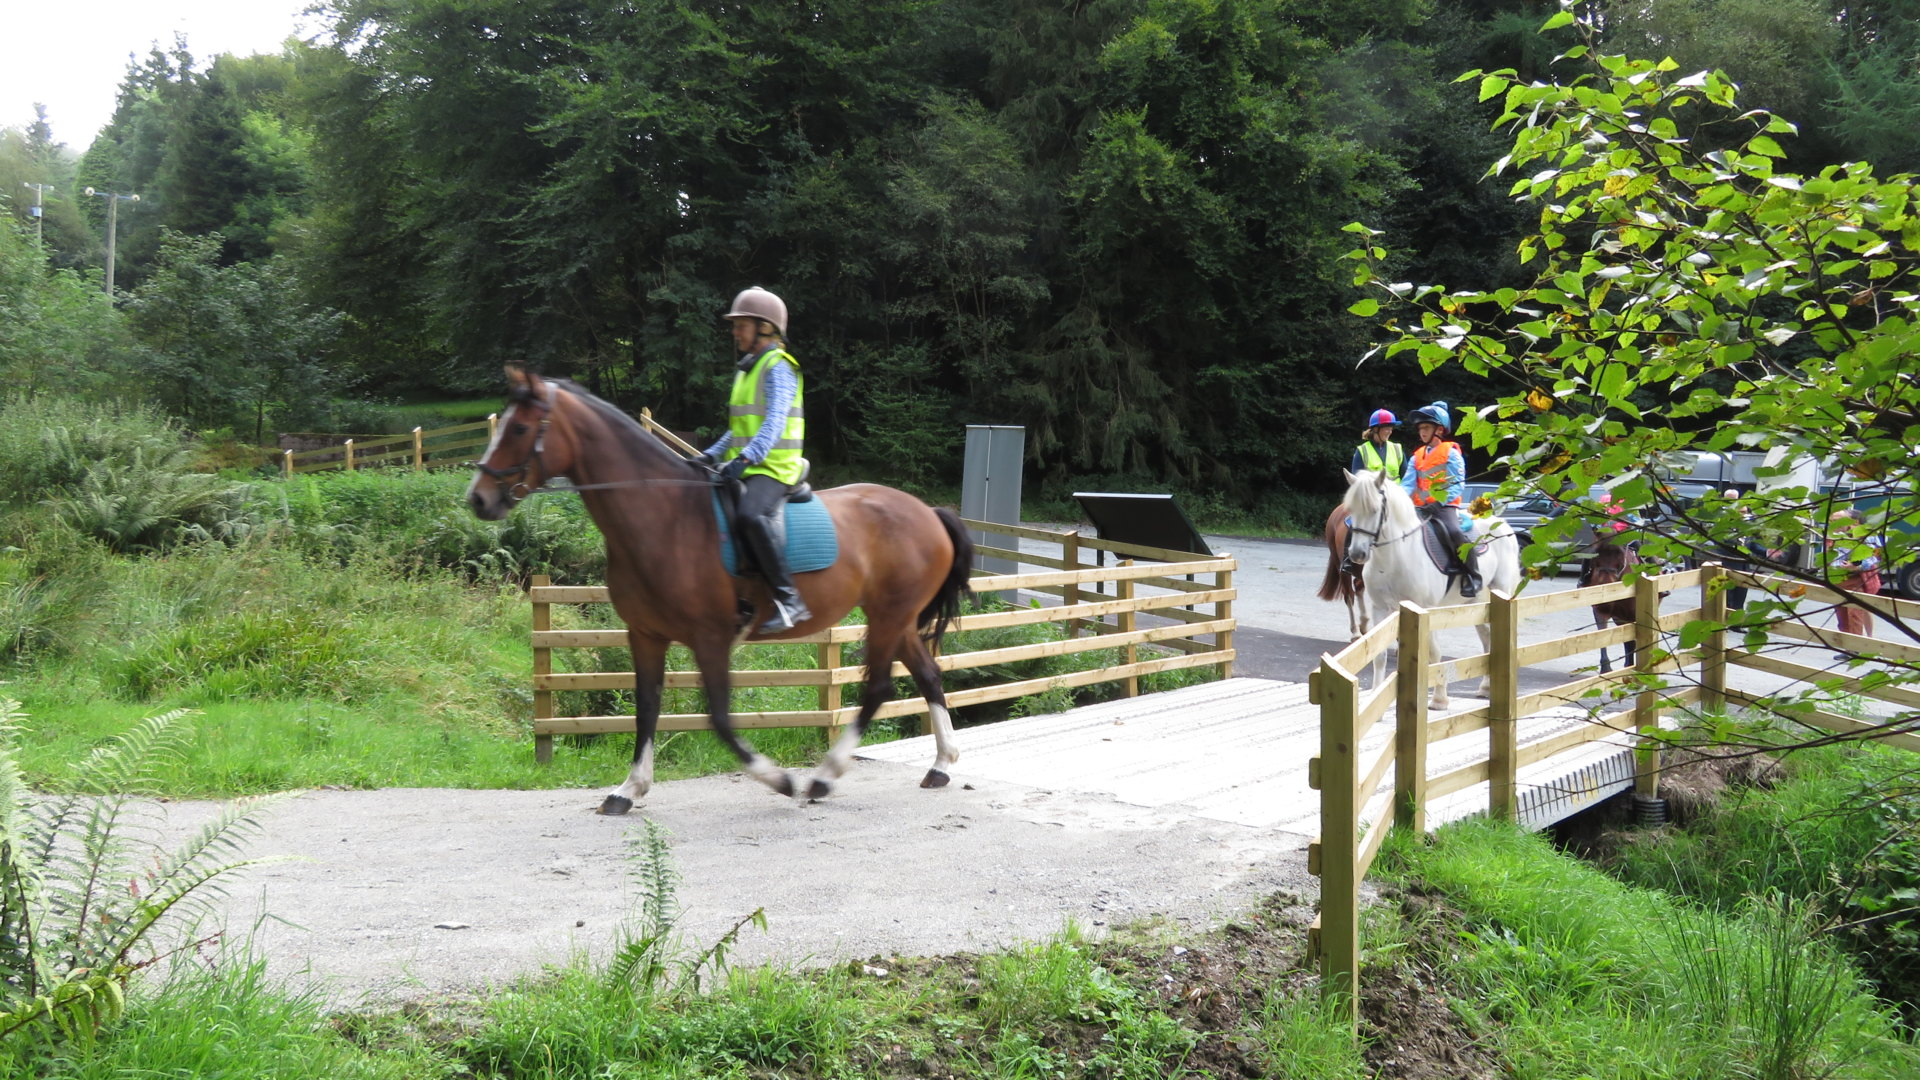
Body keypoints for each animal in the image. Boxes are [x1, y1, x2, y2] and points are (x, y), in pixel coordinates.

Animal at [467, 366, 973, 813]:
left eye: (520, 428)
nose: (478, 498)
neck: (665, 515)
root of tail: (928, 511)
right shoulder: (645, 635)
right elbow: (647, 707)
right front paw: (628, 790)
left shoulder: (710, 637)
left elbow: (720, 718)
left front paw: (780, 780)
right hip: (897, 618)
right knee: (928, 675)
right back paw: (941, 765)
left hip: (887, 617)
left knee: (879, 686)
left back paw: (824, 778)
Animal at [1339, 468, 1523, 710]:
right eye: (1351, 509)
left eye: (1375, 509)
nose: (1357, 554)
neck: (1397, 555)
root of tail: (1503, 524)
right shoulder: (1380, 609)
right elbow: (1380, 655)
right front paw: (1375, 696)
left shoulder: (1425, 609)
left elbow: (1433, 653)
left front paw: (1439, 699)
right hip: (1479, 603)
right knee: (1487, 639)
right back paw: (1485, 688)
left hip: (1500, 593)